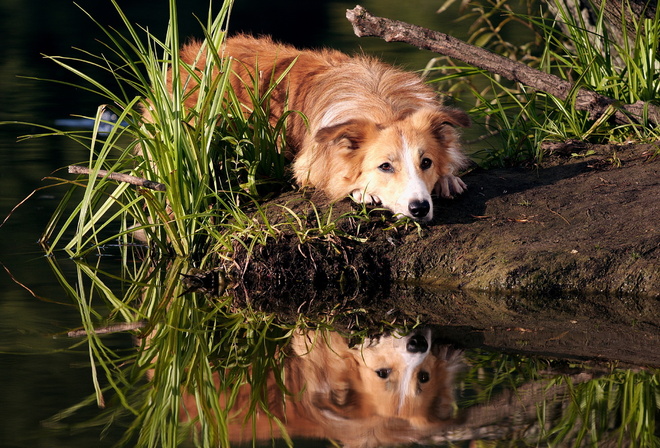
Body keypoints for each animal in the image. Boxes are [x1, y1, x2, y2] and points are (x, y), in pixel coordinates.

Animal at [164, 35, 470, 222]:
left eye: (426, 162)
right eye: (385, 166)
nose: (420, 209)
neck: (384, 104)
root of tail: (192, 53)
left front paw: (447, 178)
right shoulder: (307, 166)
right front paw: (363, 191)